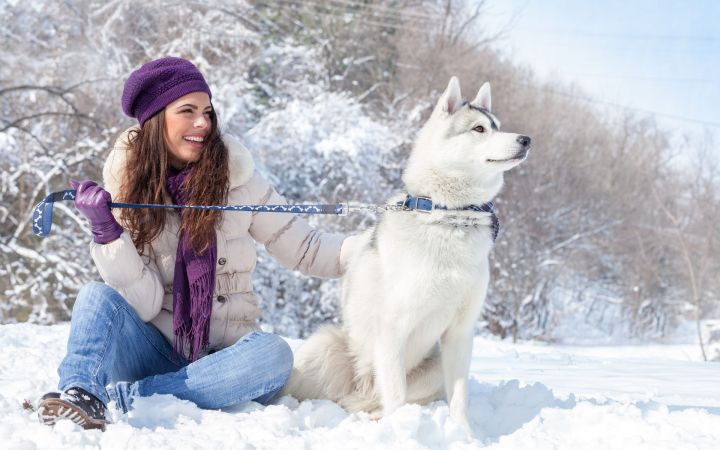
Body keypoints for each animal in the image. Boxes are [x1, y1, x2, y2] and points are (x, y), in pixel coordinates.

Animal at [282, 75, 528, 434]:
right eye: (479, 129)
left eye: (498, 125)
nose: (526, 139)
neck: (448, 217)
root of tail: (360, 390)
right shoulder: (392, 328)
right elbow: (396, 394)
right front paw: (403, 431)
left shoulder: (460, 333)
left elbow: (459, 398)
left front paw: (464, 434)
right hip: (324, 348)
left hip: (433, 368)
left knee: (377, 402)